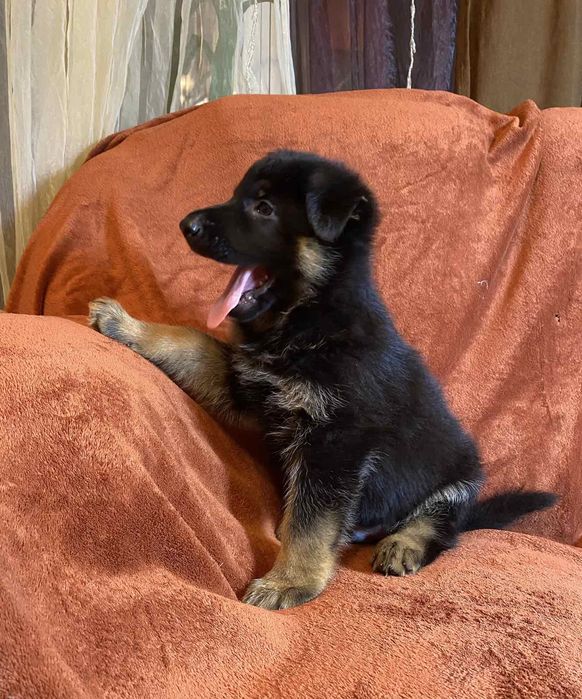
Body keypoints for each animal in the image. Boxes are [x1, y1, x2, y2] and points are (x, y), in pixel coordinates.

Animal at [89, 150, 556, 610]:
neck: (310, 319)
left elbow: (312, 521)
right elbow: (189, 340)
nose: (186, 225)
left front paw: (290, 581)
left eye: (264, 207)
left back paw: (403, 543)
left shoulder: (336, 442)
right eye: (237, 196)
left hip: (460, 478)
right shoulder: (244, 383)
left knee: (441, 523)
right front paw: (125, 324)